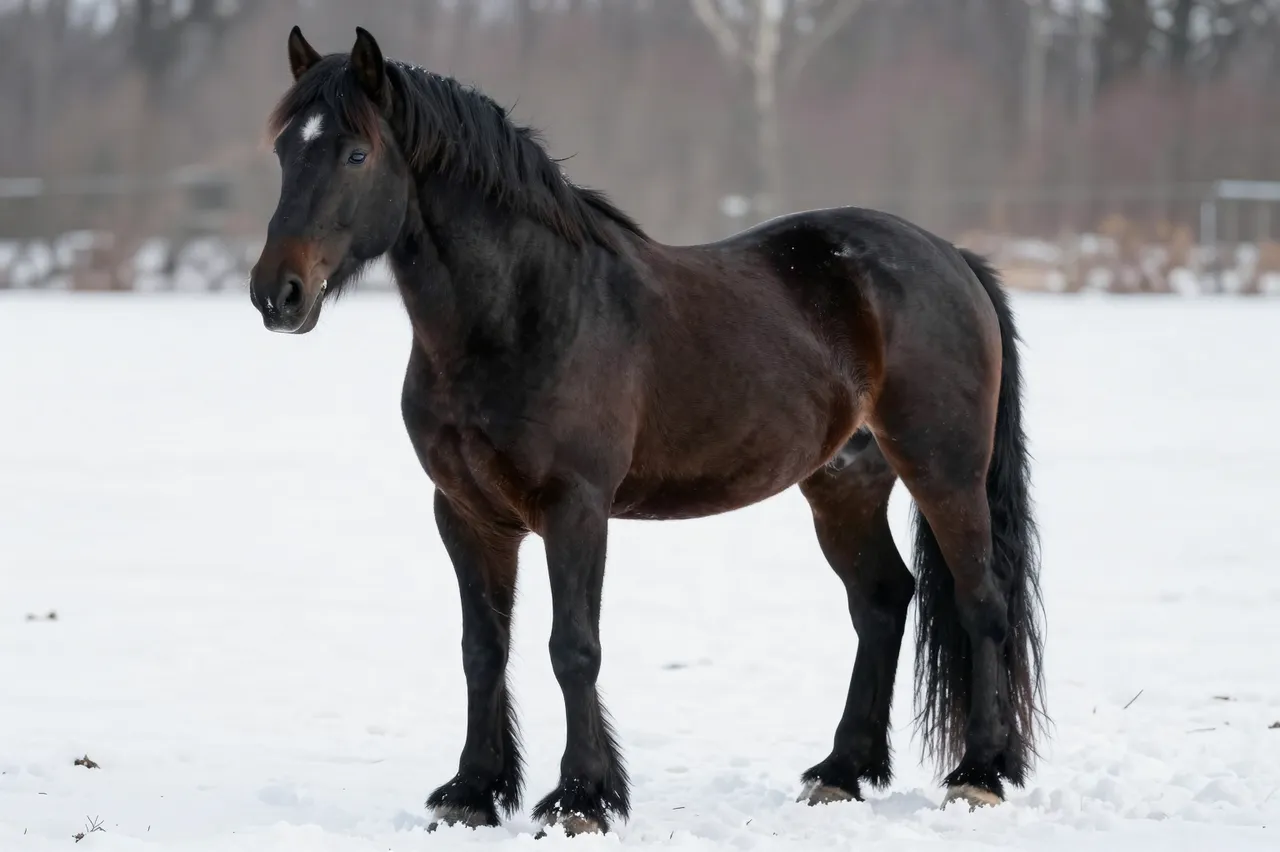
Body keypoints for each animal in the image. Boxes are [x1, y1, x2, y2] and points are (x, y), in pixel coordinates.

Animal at [247, 26, 1047, 837]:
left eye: (356, 154)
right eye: (284, 150)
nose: (277, 294)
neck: (522, 313)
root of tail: (952, 258)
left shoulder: (575, 508)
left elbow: (573, 647)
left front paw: (581, 799)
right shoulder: (467, 513)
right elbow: (483, 648)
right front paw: (472, 791)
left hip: (944, 469)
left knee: (981, 600)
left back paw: (979, 775)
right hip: (841, 484)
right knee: (883, 601)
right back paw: (840, 772)